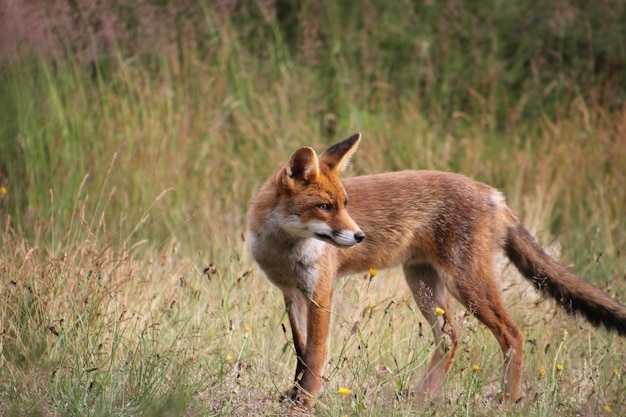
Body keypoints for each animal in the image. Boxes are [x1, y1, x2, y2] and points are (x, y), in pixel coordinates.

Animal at [244, 133, 624, 410]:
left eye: (345, 205)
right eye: (325, 207)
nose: (360, 236)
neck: (284, 249)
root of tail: (492, 193)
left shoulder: (320, 292)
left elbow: (315, 355)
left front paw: (305, 402)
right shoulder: (291, 294)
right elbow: (300, 352)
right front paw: (292, 395)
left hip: (466, 285)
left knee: (512, 333)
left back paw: (507, 400)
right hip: (425, 284)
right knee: (450, 337)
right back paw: (423, 397)